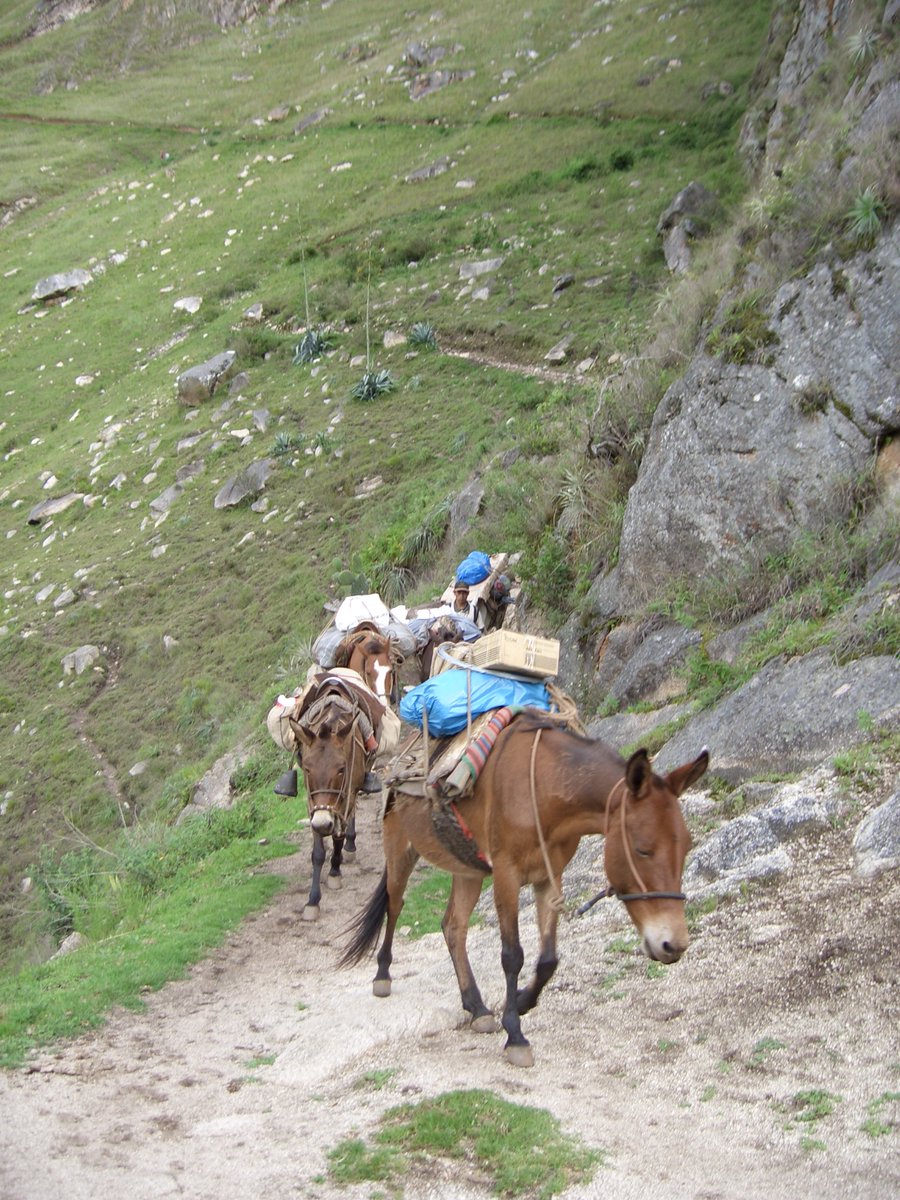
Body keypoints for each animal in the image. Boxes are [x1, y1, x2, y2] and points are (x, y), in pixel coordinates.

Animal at [340, 705, 710, 1065]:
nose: (673, 944)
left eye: (687, 847)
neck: (546, 790)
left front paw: (519, 1002)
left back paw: (476, 1007)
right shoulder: (506, 875)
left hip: (468, 870)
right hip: (400, 848)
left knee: (453, 926)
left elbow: (548, 960)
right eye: (642, 849)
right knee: (394, 905)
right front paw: (515, 1034)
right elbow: (512, 955)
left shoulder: (549, 877)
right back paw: (383, 975)